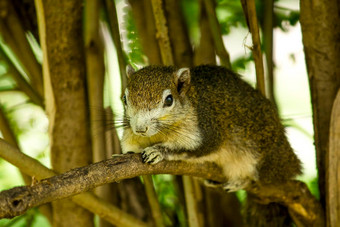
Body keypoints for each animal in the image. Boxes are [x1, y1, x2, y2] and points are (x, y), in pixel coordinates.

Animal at [121, 65, 302, 225]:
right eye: (124, 98)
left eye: (169, 100)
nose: (140, 129)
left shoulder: (207, 133)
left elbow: (189, 149)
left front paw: (159, 151)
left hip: (260, 157)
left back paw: (241, 180)